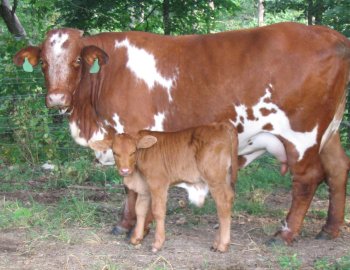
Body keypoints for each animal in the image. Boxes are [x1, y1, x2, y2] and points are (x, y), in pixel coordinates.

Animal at [89, 122, 239, 253]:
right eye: (115, 152)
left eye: (133, 151)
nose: (125, 171)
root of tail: (220, 125)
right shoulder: (144, 187)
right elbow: (140, 210)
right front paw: (136, 238)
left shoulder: (158, 183)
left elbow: (158, 211)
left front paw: (158, 243)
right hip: (225, 178)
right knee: (229, 199)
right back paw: (217, 242)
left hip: (215, 178)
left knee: (223, 204)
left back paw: (222, 245)